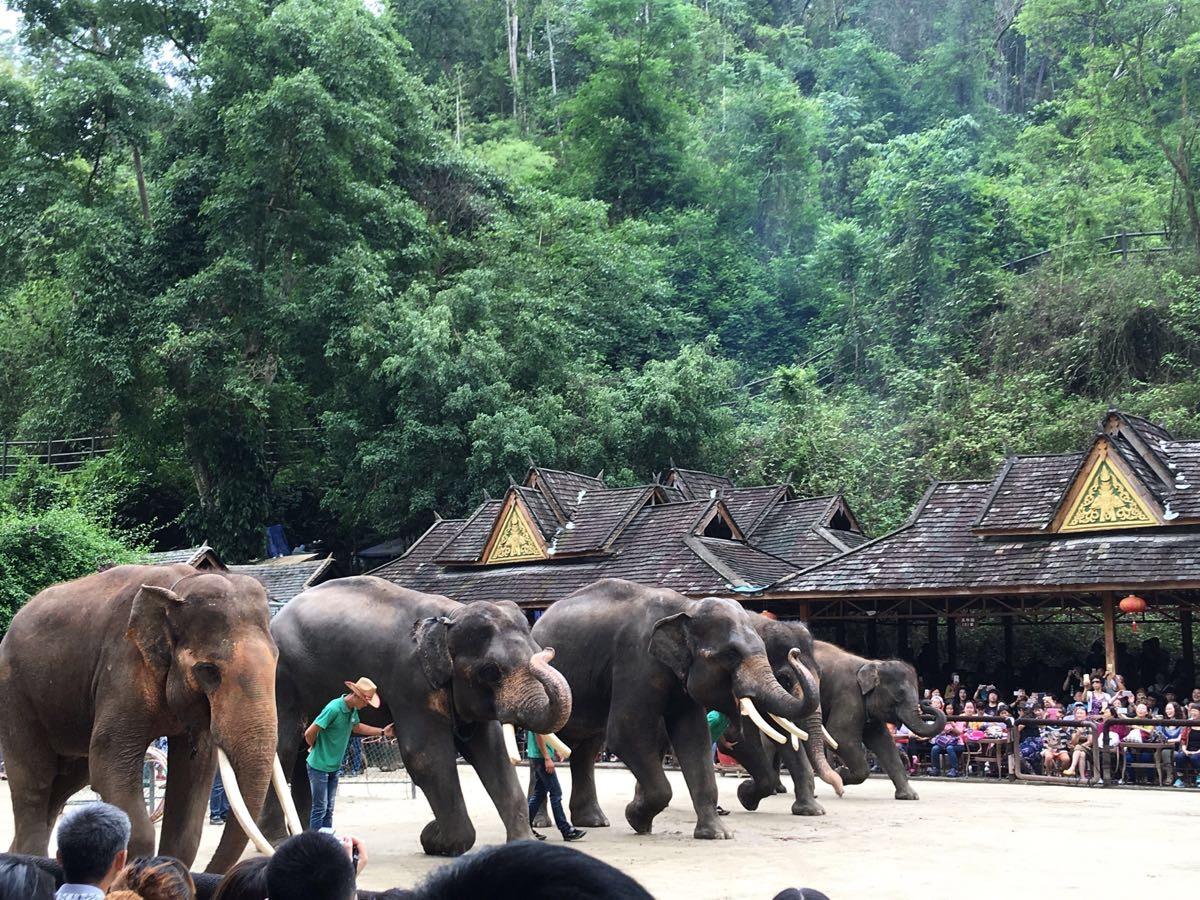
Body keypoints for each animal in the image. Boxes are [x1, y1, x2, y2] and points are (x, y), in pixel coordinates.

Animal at [0, 564, 288, 873]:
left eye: (277, 660)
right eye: (208, 671)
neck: (180, 586)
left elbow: (194, 773)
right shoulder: (123, 666)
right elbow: (108, 762)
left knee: (64, 786)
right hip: (15, 697)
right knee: (35, 783)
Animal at [264, 576, 572, 856]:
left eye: (537, 652)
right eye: (490, 671)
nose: (549, 651)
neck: (450, 618)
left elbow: (492, 752)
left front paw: (523, 845)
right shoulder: (410, 682)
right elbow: (426, 757)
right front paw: (434, 838)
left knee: (303, 753)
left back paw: (305, 839)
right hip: (281, 679)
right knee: (284, 748)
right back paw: (277, 842)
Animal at [530, 578, 817, 840]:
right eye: (730, 654)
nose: (794, 653)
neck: (686, 607)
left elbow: (694, 738)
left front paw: (716, 834)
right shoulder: (636, 660)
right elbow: (627, 734)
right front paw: (636, 819)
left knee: (588, 748)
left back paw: (594, 822)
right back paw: (543, 823)